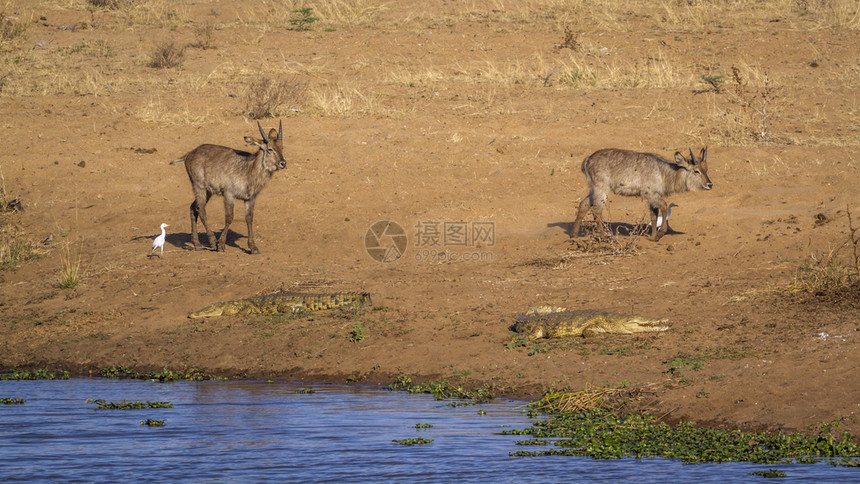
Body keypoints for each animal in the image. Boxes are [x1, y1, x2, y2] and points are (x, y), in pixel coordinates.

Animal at [170, 120, 288, 253]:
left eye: (282, 147)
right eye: (270, 149)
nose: (283, 163)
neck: (248, 170)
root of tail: (189, 154)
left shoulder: (250, 198)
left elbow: (249, 218)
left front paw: (253, 247)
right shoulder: (229, 195)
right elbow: (229, 218)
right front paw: (221, 244)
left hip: (208, 191)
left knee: (193, 207)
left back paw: (197, 244)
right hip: (199, 186)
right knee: (201, 210)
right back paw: (212, 242)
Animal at [572, 146, 712, 240]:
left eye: (706, 169)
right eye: (696, 171)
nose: (710, 184)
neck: (663, 173)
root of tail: (587, 159)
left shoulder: (653, 196)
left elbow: (654, 215)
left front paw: (652, 237)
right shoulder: (650, 193)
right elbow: (664, 206)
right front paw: (660, 234)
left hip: (594, 188)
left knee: (583, 205)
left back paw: (574, 235)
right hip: (602, 188)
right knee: (597, 211)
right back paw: (605, 236)